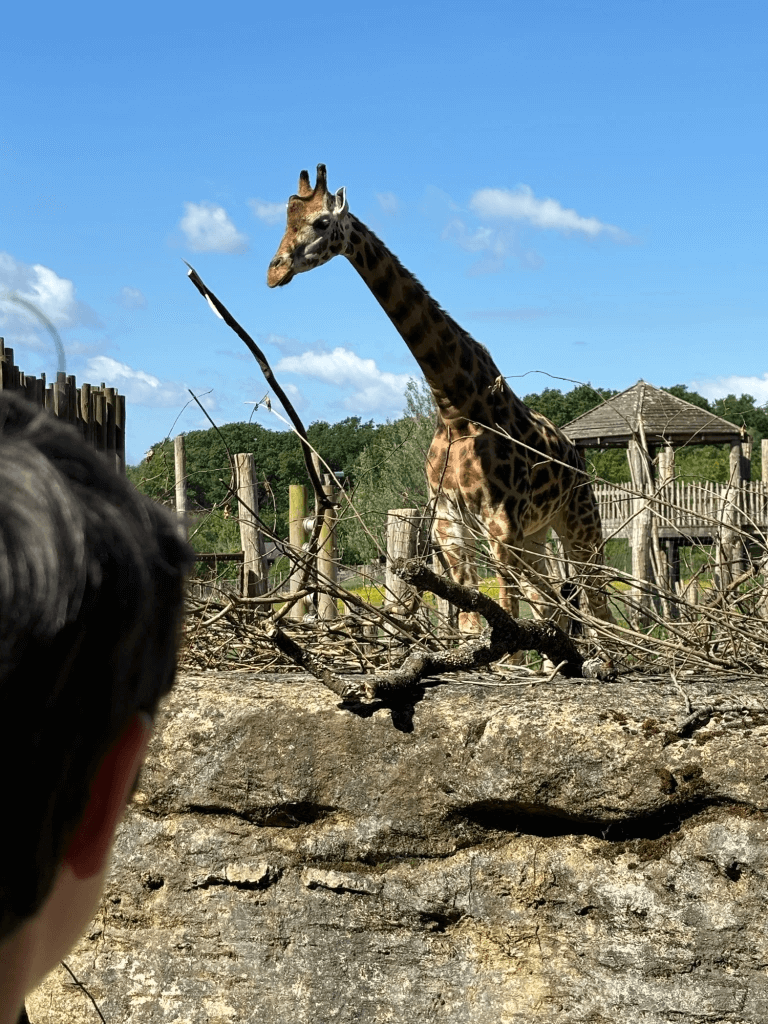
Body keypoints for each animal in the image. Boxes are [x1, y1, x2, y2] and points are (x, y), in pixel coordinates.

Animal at [268, 163, 618, 626]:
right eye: (285, 223)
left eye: (321, 222)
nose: (273, 271)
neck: (456, 405)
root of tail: (576, 455)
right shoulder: (450, 522)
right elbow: (472, 619)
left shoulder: (500, 522)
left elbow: (504, 610)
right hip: (536, 536)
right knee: (551, 606)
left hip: (579, 521)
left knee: (596, 605)